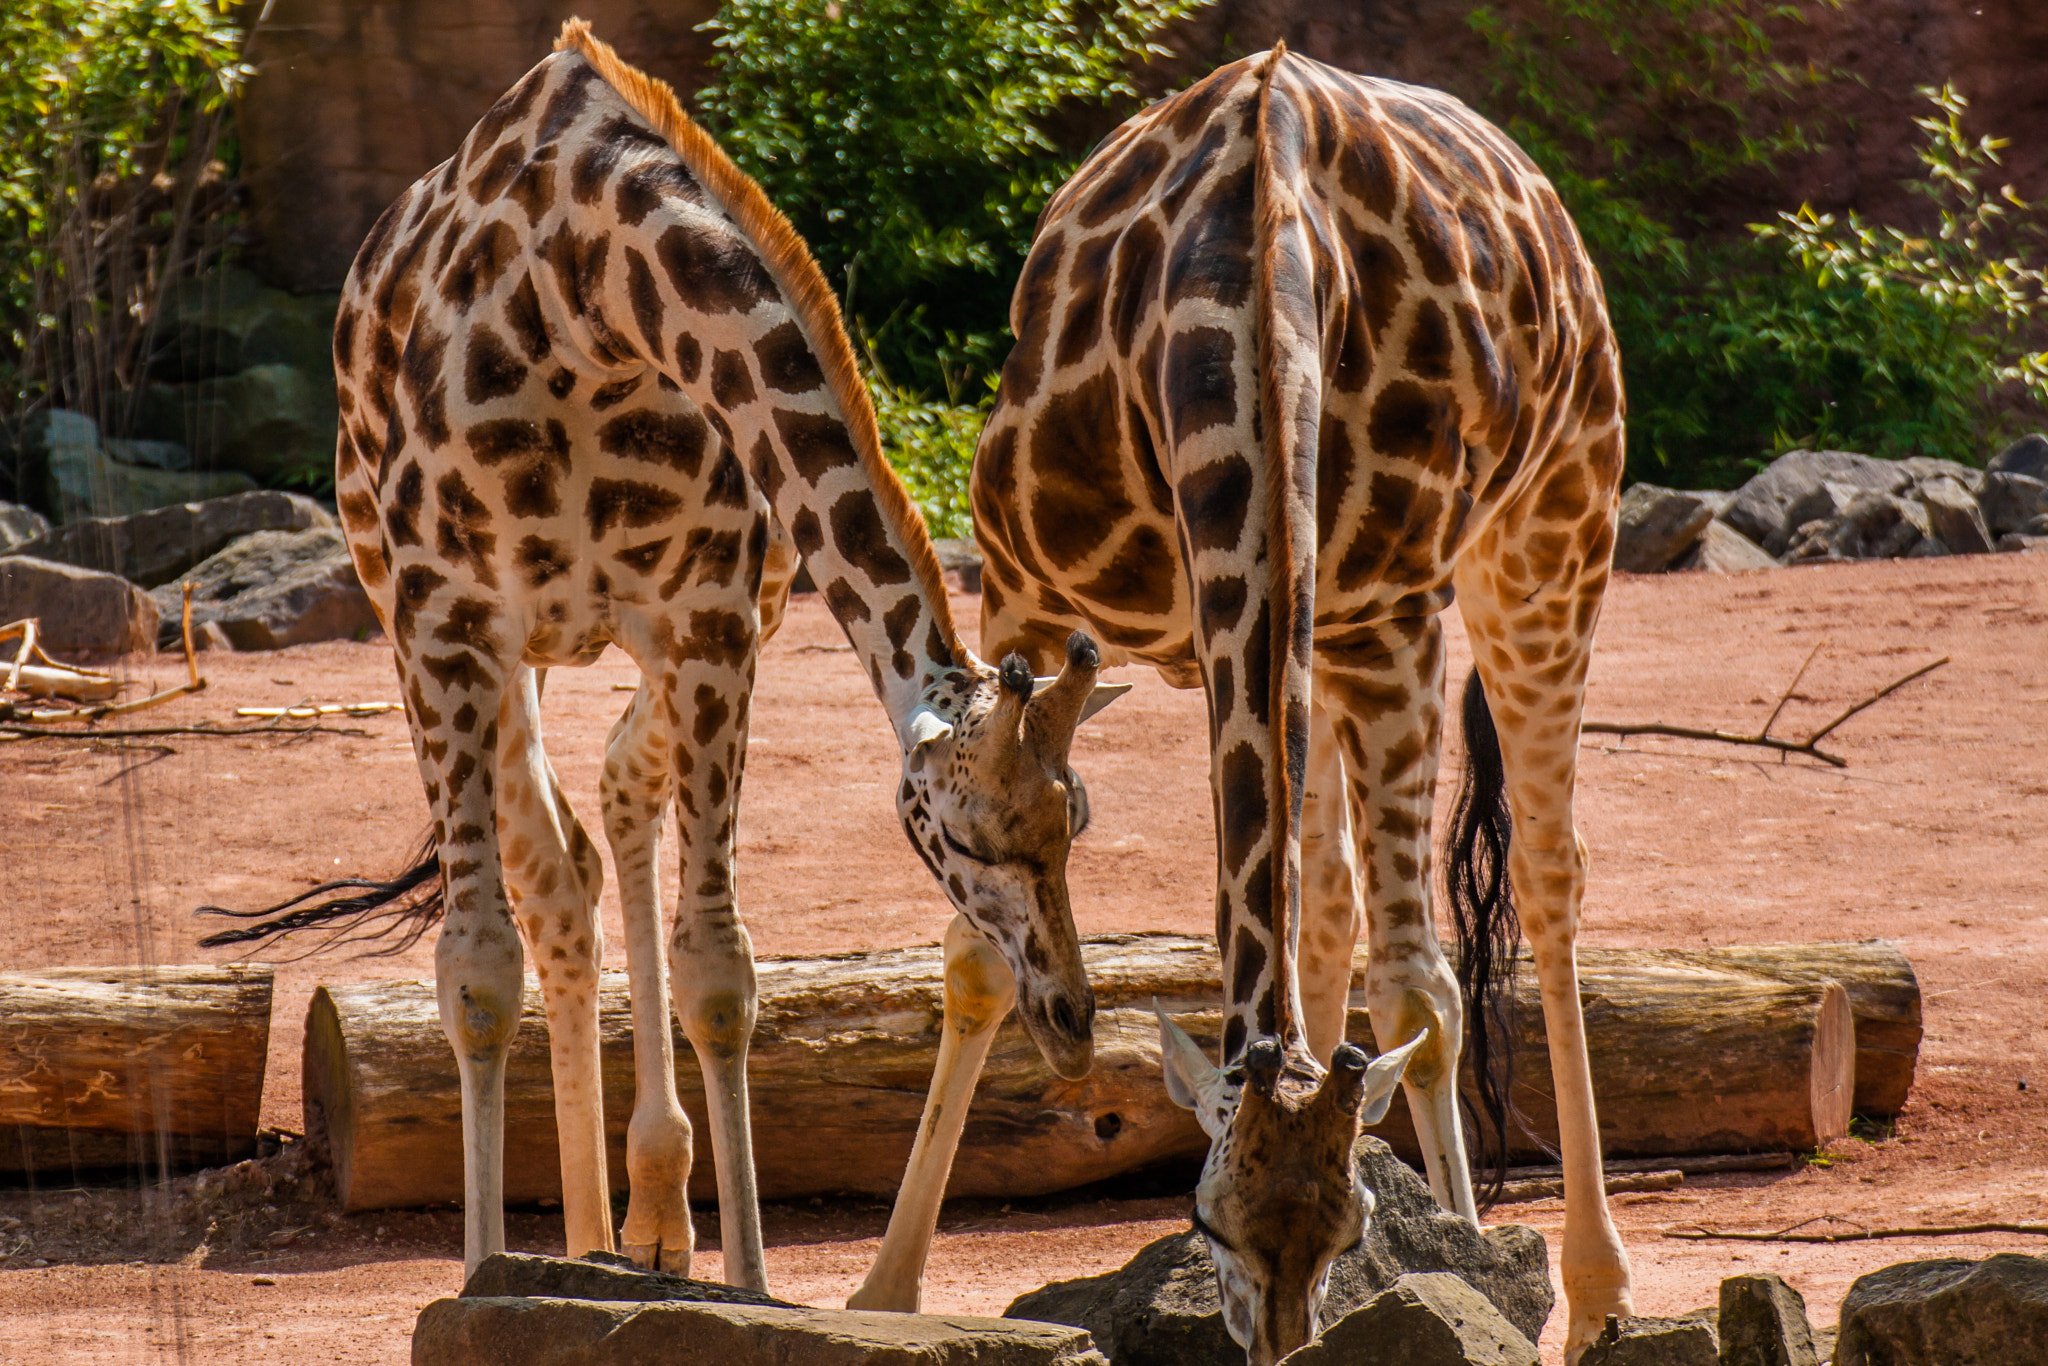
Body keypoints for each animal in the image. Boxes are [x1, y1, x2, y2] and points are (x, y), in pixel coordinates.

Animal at [325, 20, 1127, 1289]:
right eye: (957, 836)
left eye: (1075, 821)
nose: (1070, 1021)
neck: (590, 301)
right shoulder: (446, 618)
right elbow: (476, 970)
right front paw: (480, 1280)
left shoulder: (709, 618)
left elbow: (720, 972)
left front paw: (746, 1287)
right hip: (446, 621)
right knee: (550, 871)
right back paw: (579, 1241)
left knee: (604, 807)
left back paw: (636, 1226)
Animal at [971, 45, 1629, 1362]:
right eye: (1203, 1219)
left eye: (1349, 1229)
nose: (1274, 1342)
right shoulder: (1016, 593)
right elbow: (973, 950)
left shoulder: (1389, 622)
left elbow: (1417, 983)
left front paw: (1461, 1262)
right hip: (1323, 635)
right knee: (1323, 892)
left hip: (1553, 528)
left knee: (1543, 872)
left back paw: (1594, 1292)